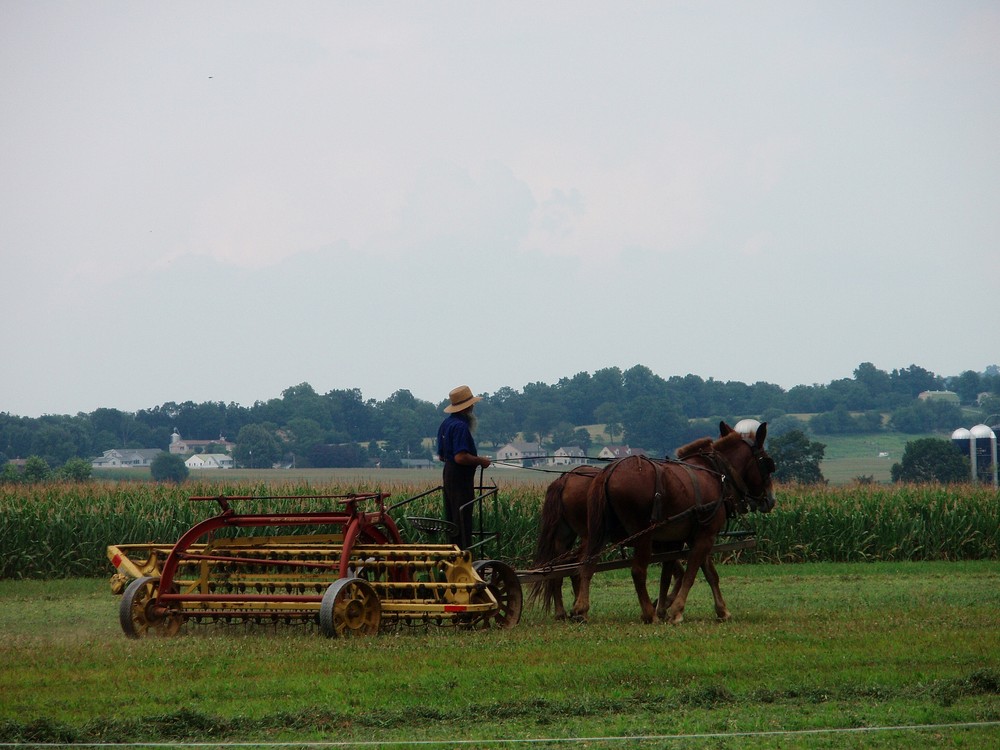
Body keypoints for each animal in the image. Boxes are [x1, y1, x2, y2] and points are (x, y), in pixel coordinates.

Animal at [568, 420, 776, 624]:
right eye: (768, 463)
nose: (771, 500)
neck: (718, 474)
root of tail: (609, 472)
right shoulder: (706, 536)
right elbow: (691, 574)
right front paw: (676, 611)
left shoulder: (691, 538)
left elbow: (705, 574)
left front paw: (721, 610)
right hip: (643, 535)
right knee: (637, 571)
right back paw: (648, 614)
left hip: (600, 532)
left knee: (587, 564)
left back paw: (581, 609)